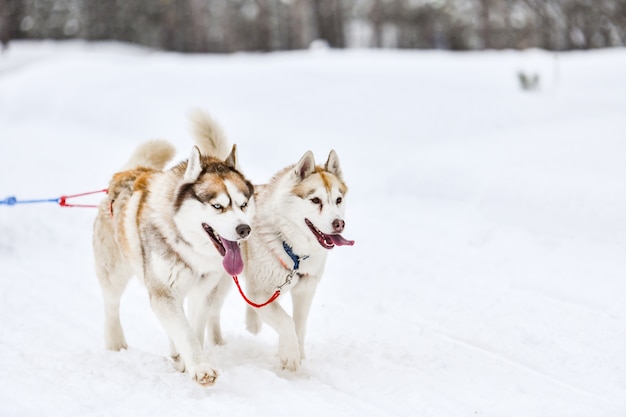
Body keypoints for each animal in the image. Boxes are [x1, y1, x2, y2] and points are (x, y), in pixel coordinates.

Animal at [91, 113, 252, 384]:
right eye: (218, 206)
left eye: (243, 204)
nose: (244, 229)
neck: (190, 249)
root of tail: (127, 173)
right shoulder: (163, 292)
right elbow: (185, 332)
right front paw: (201, 368)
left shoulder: (202, 292)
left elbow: (193, 330)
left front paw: (190, 361)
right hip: (115, 273)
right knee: (111, 306)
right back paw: (116, 343)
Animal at [235, 149, 352, 368]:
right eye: (315, 200)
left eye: (338, 200)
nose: (339, 223)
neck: (291, 250)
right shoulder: (261, 293)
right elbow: (286, 321)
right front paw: (289, 354)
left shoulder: (305, 289)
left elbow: (299, 325)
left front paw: (298, 354)